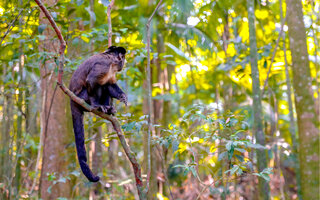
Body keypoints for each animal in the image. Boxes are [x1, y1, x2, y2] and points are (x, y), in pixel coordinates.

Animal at [69, 46, 127, 182]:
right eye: (123, 58)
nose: (124, 62)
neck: (111, 60)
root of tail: (72, 100)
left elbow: (110, 85)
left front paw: (123, 96)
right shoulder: (104, 66)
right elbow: (91, 81)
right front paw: (96, 104)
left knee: (105, 85)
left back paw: (109, 109)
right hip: (81, 97)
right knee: (97, 85)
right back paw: (98, 107)